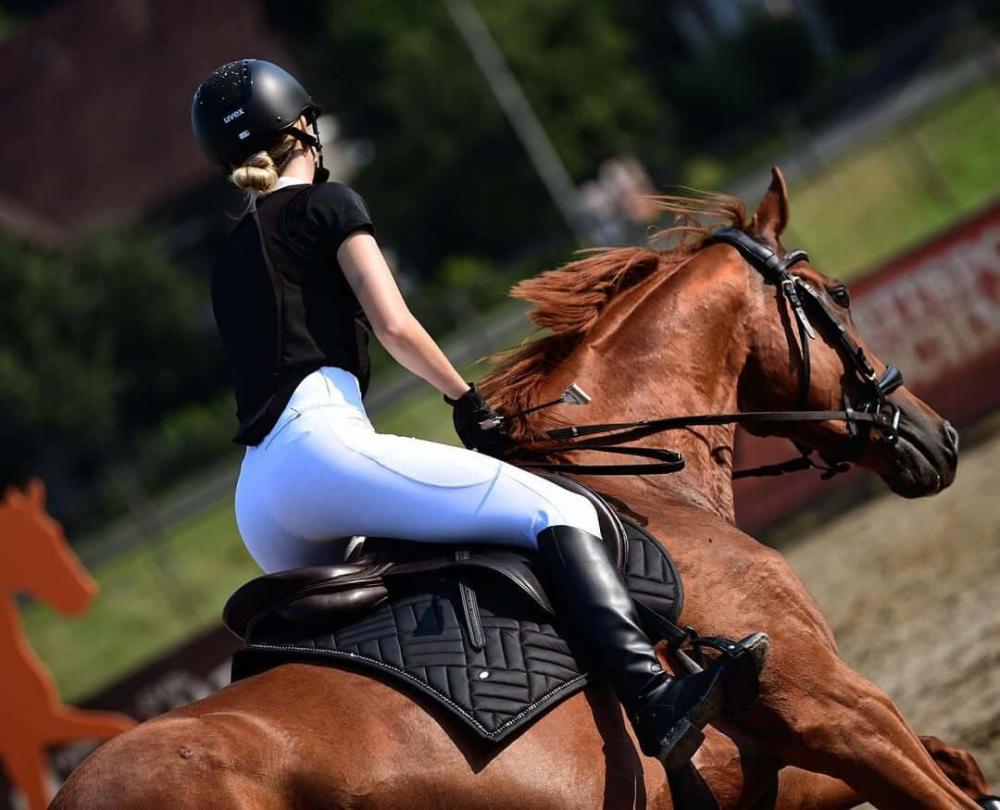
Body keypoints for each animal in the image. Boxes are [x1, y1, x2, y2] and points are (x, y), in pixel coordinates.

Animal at [0, 480, 135, 809]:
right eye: (31, 542)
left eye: (56, 531)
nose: (84, 593)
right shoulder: (27, 736)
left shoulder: (35, 731)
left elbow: (117, 723)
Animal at [52, 169, 996, 808]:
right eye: (837, 294)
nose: (939, 438)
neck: (654, 488)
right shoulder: (832, 712)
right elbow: (940, 784)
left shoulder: (774, 772)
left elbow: (957, 764)